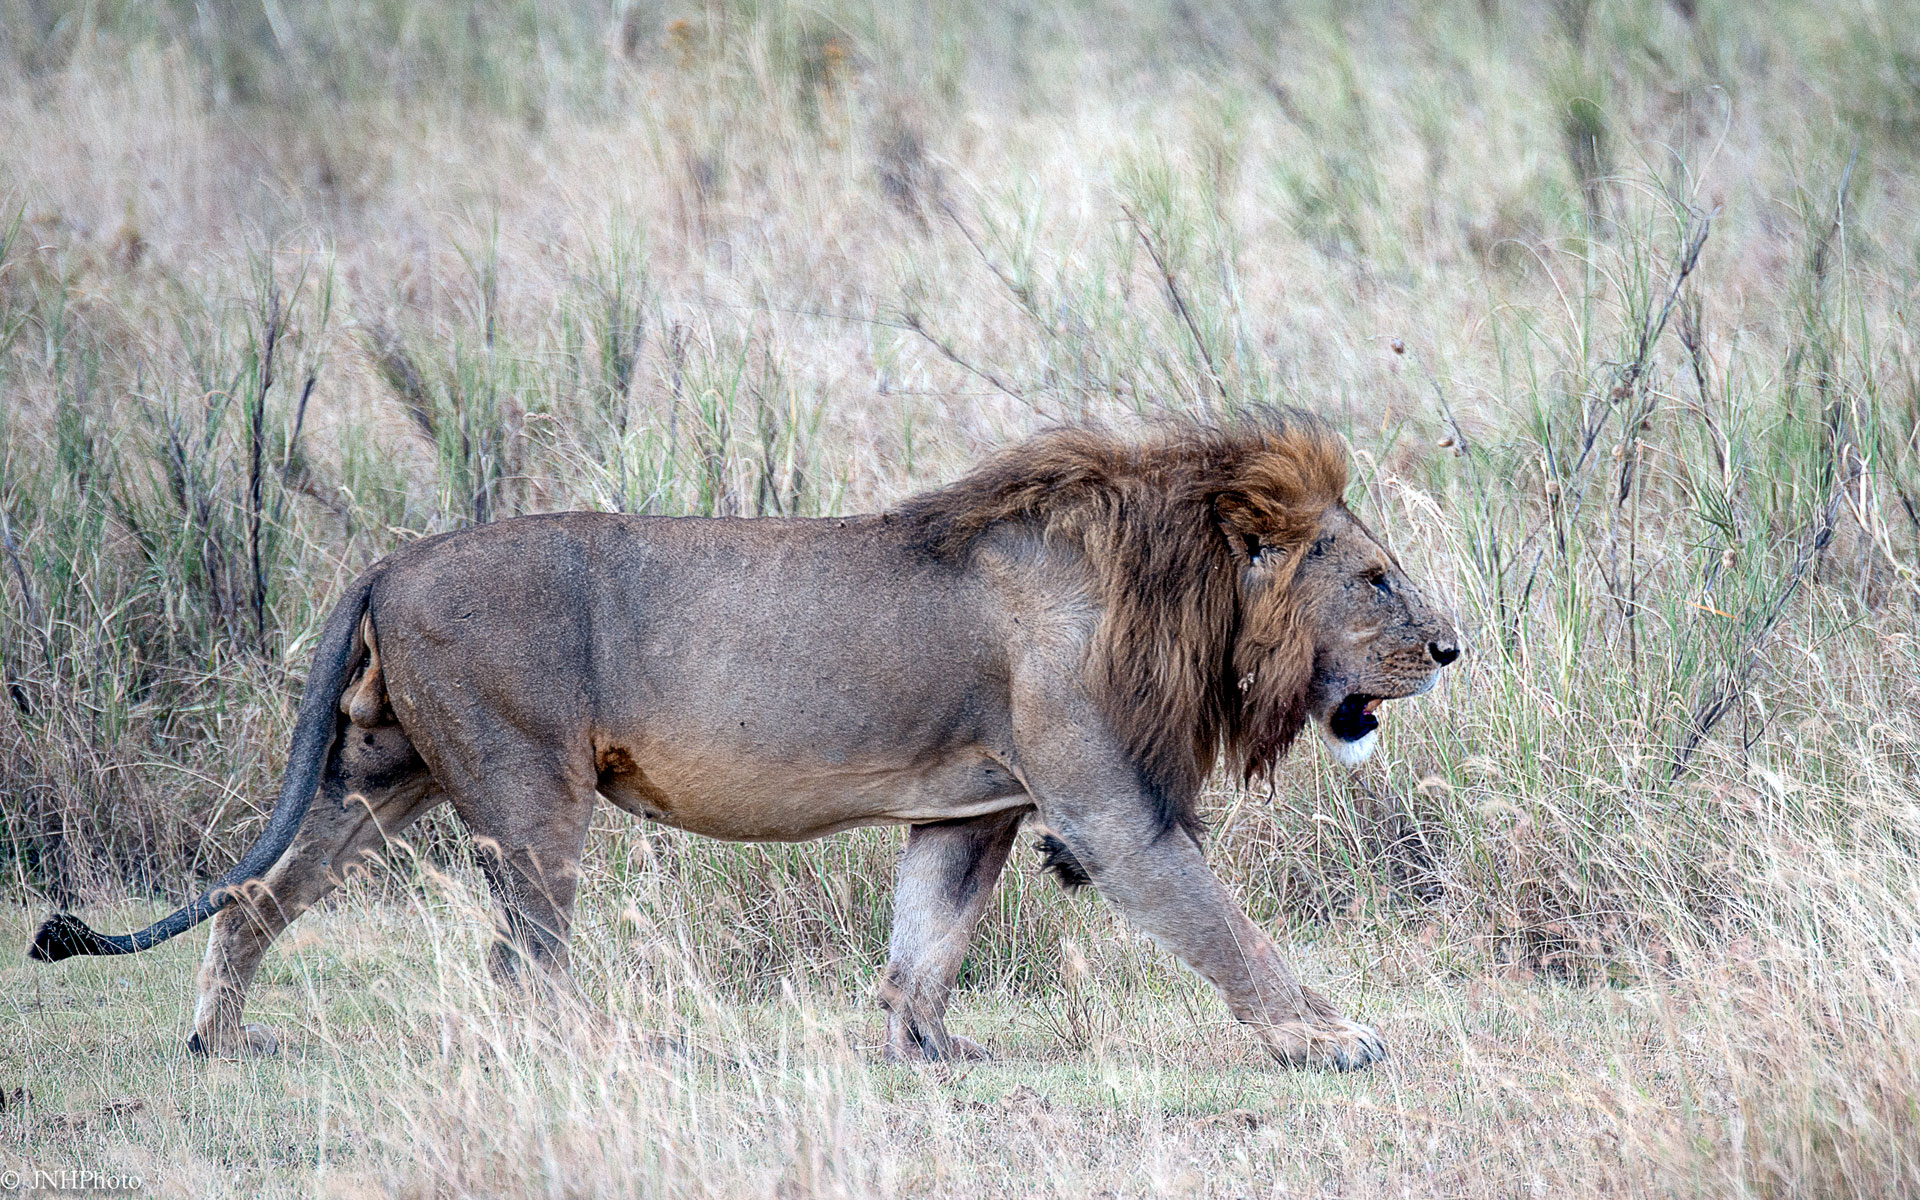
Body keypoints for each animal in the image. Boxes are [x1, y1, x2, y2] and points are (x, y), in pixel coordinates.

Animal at [26, 408, 1451, 1067]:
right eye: (1377, 577)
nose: (1448, 648)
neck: (1176, 590)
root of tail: (391, 556)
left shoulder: (969, 806)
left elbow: (926, 940)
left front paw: (927, 1049)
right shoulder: (1106, 808)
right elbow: (1225, 926)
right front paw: (1327, 1038)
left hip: (381, 774)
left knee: (256, 896)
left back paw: (221, 1040)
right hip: (528, 788)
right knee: (518, 960)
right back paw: (590, 1053)